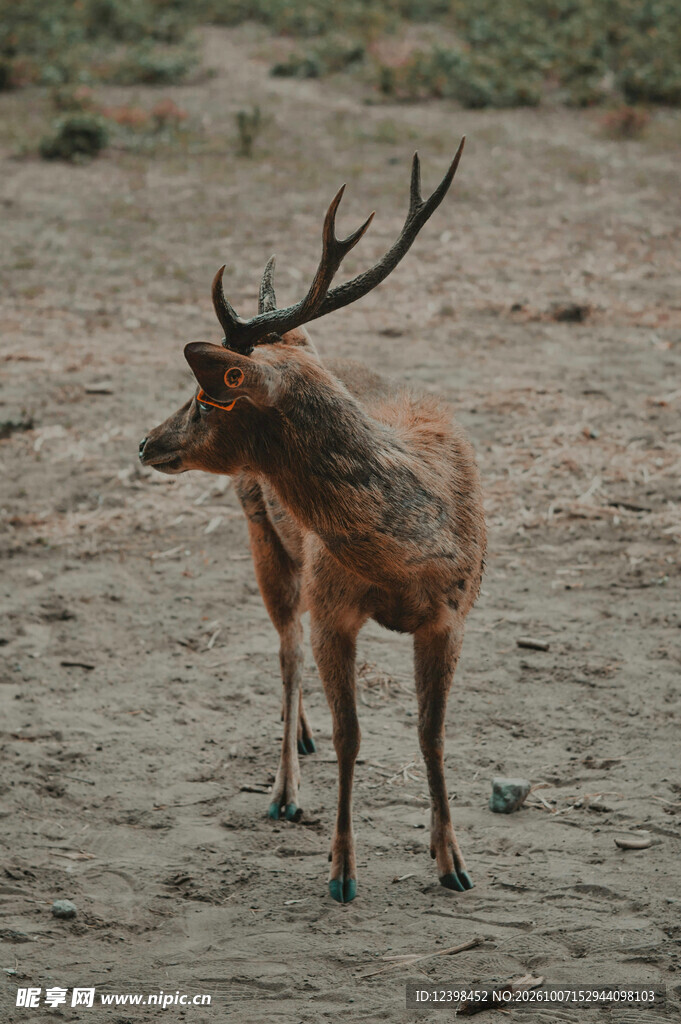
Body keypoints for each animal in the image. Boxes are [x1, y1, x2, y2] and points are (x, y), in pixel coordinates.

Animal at [139, 139, 486, 904]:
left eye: (207, 399)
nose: (146, 442)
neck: (408, 556)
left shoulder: (453, 615)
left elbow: (433, 735)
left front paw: (451, 863)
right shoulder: (334, 608)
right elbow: (351, 735)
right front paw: (341, 872)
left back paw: (296, 742)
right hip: (262, 535)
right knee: (285, 648)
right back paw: (286, 788)